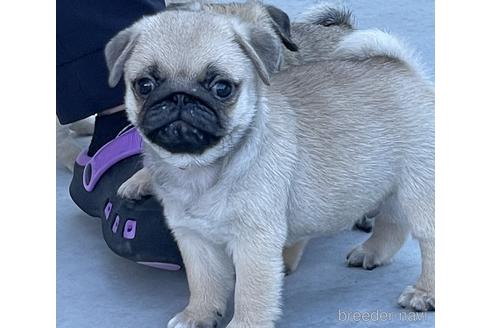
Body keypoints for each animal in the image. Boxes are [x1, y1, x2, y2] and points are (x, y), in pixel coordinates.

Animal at [104, 3, 434, 328]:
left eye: (222, 88)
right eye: (144, 85)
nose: (180, 98)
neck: (202, 168)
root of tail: (403, 69)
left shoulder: (255, 244)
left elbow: (250, 294)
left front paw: (243, 324)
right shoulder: (194, 239)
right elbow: (204, 283)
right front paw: (197, 316)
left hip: (419, 192)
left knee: (428, 238)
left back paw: (423, 293)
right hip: (392, 185)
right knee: (394, 222)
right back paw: (372, 252)